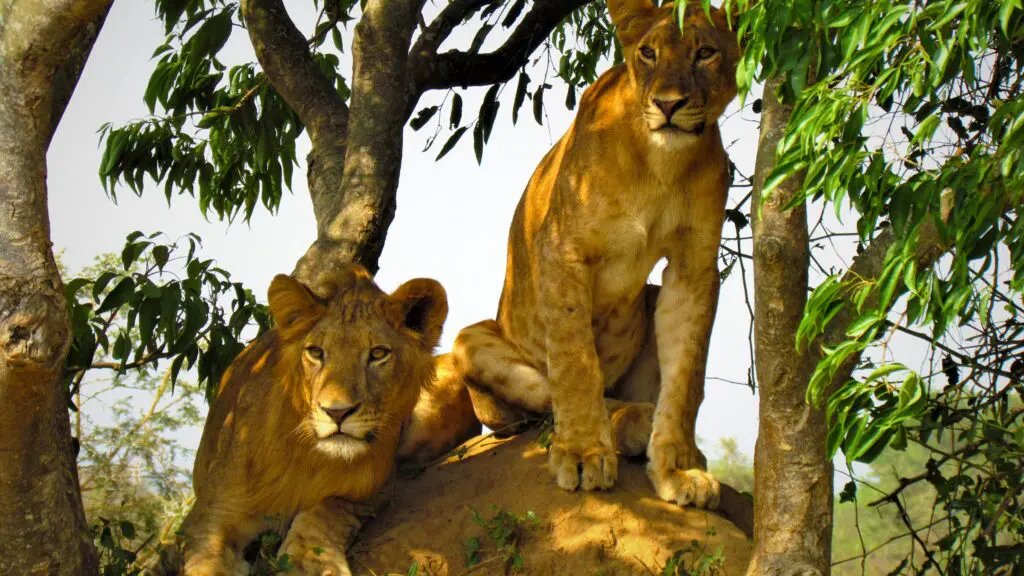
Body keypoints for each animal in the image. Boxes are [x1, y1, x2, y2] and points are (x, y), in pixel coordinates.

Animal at [173, 264, 479, 575]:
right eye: (316, 352)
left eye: (378, 353)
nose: (337, 412)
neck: (309, 457)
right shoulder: (211, 515)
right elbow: (208, 564)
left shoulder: (369, 488)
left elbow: (326, 512)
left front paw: (310, 562)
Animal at [452, 0, 740, 510]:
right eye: (648, 52)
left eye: (705, 52)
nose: (669, 104)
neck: (661, 162)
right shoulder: (562, 248)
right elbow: (575, 361)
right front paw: (584, 453)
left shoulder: (694, 266)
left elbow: (686, 374)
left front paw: (678, 468)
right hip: (471, 342)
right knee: (550, 400)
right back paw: (628, 423)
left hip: (648, 297)